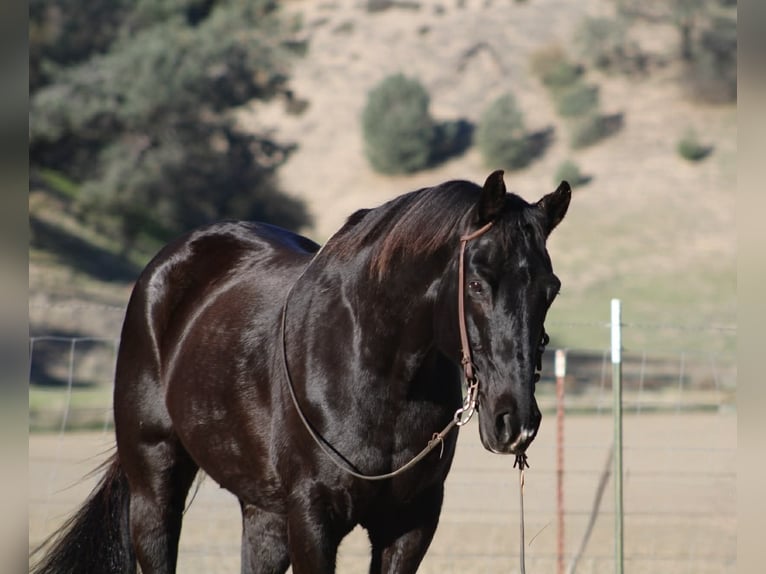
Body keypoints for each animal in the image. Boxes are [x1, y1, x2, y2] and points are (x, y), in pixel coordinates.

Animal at [31, 170, 570, 574]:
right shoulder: (313, 518)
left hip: (263, 513)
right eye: (477, 282)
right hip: (154, 482)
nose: (515, 421)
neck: (376, 371)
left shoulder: (410, 523)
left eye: (551, 289)